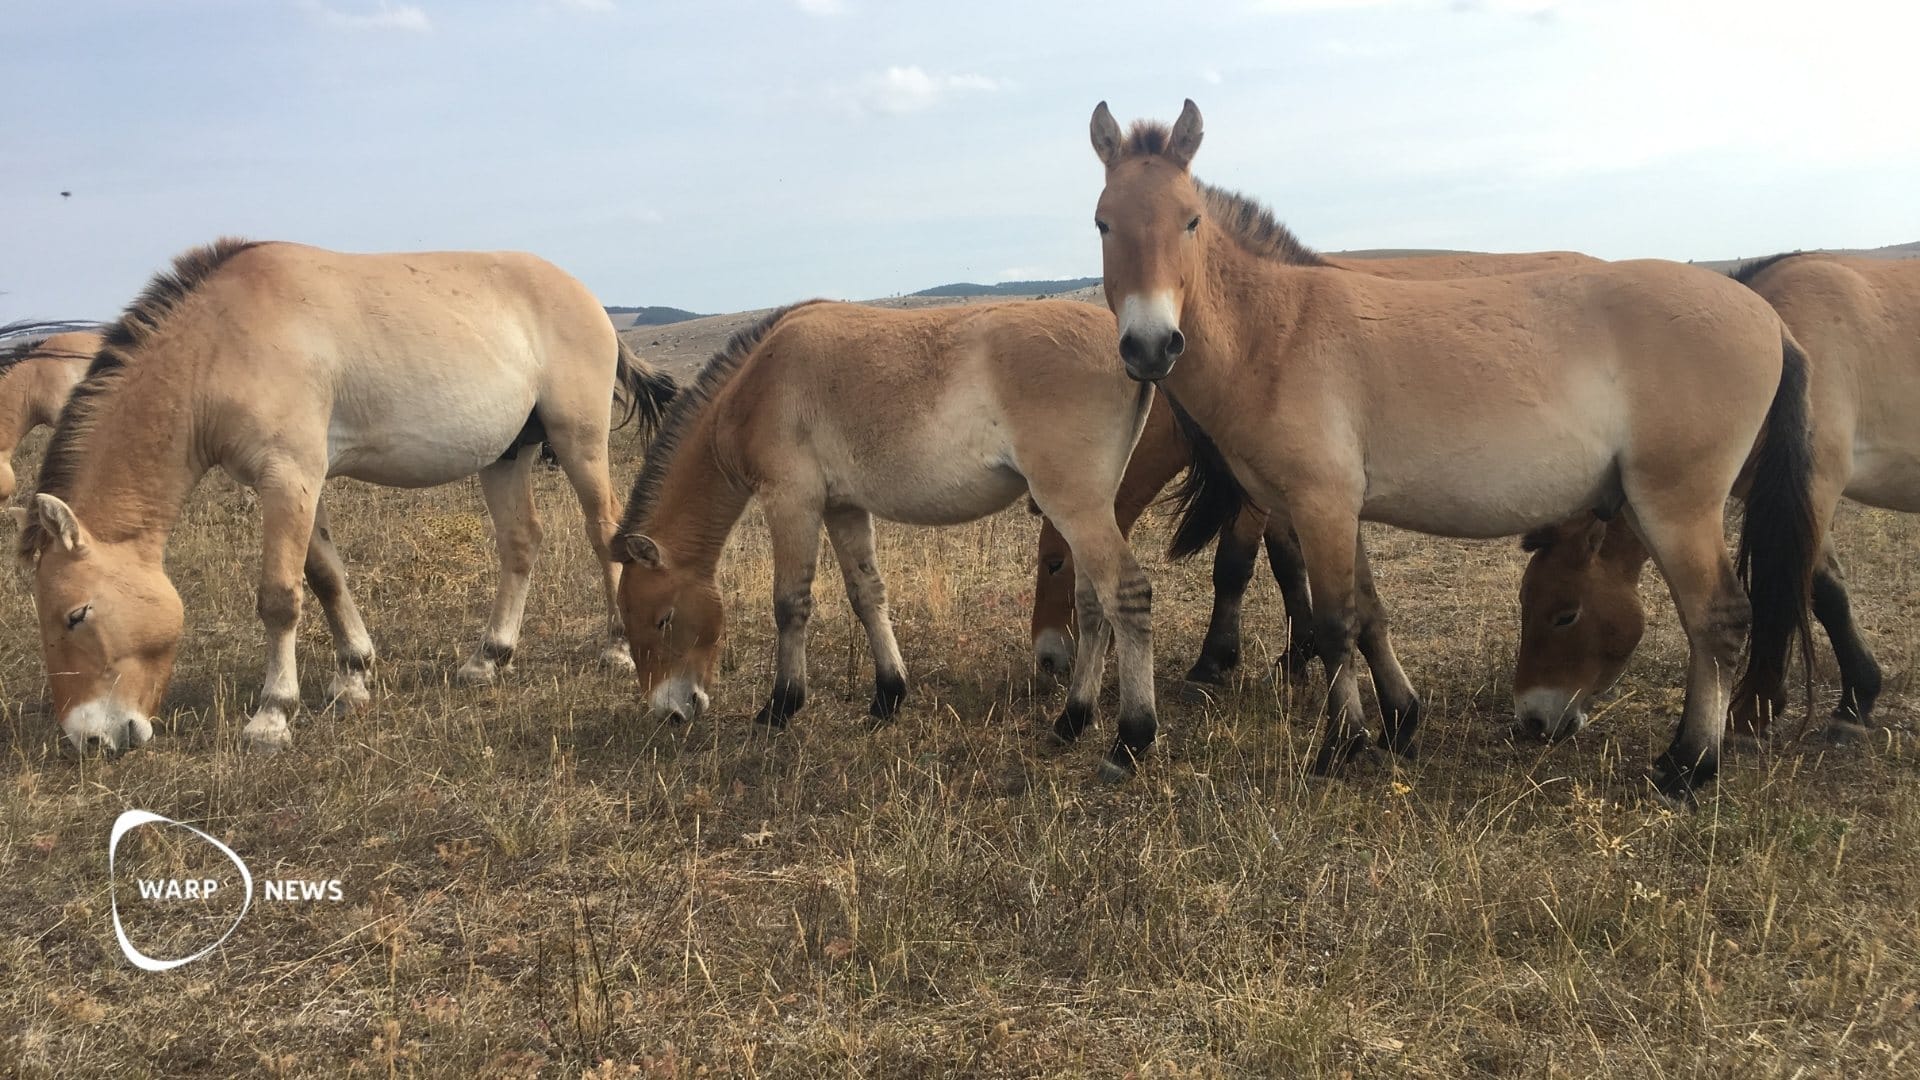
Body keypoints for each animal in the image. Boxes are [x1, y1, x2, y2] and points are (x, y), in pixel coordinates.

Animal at [611, 299, 1161, 779]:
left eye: (663, 619)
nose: (669, 711)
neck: (758, 382)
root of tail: (1123, 345)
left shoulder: (792, 502)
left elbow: (790, 604)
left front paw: (781, 705)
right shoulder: (843, 507)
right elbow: (867, 595)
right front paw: (888, 695)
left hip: (1076, 508)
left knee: (1125, 596)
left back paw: (1130, 739)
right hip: (1086, 514)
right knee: (1091, 606)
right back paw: (1073, 720)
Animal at [1029, 251, 1603, 688]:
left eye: (1055, 564)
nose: (1047, 658)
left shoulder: (1261, 496)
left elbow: (1233, 567)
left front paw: (1215, 661)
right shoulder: (1290, 491)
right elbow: (1291, 565)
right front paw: (1298, 652)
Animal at [1088, 100, 1820, 803]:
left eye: (1190, 221)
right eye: (1102, 223)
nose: (1150, 346)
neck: (1279, 329)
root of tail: (1770, 319)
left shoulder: (1321, 505)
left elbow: (1335, 624)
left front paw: (1340, 746)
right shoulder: (1336, 510)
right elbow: (1370, 615)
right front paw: (1399, 722)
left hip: (1678, 506)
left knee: (1718, 619)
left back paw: (1689, 766)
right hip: (1645, 507)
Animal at [1515, 253, 1920, 742]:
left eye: (1565, 614)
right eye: (1526, 602)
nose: (1532, 720)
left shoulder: (1815, 488)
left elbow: (1801, 590)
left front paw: (1756, 713)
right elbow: (1824, 590)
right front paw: (1853, 700)